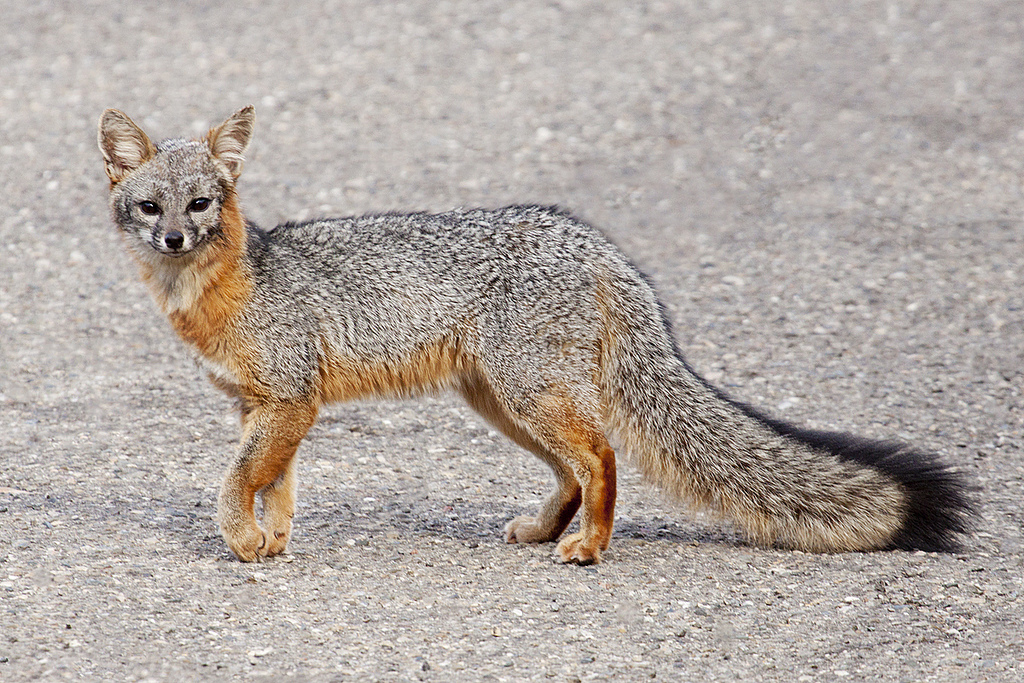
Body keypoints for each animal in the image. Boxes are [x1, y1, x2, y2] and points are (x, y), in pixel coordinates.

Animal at [99, 108, 970, 565]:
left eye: (201, 203)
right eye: (151, 207)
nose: (174, 238)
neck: (229, 290)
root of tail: (594, 242)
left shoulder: (288, 400)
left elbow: (234, 482)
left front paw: (242, 538)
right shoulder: (266, 407)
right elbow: (274, 483)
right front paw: (271, 540)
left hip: (526, 395)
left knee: (604, 456)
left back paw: (589, 547)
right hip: (504, 401)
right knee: (576, 469)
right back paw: (553, 528)